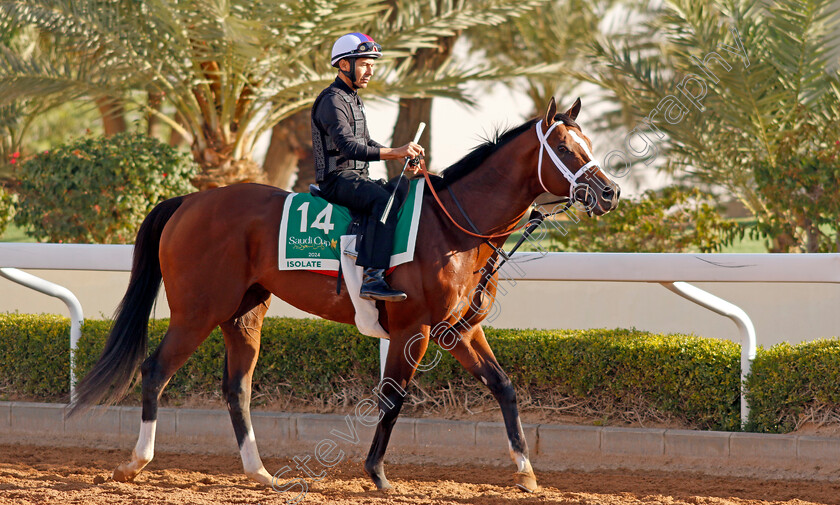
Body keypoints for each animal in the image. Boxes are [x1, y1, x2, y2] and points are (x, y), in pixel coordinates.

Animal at [67, 97, 616, 492]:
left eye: (588, 142)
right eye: (566, 148)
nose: (609, 192)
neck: (454, 228)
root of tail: (189, 201)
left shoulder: (458, 330)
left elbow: (504, 387)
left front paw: (526, 472)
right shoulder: (413, 329)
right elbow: (393, 397)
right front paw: (377, 473)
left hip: (243, 314)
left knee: (237, 388)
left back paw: (260, 473)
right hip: (197, 311)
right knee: (155, 370)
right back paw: (135, 463)